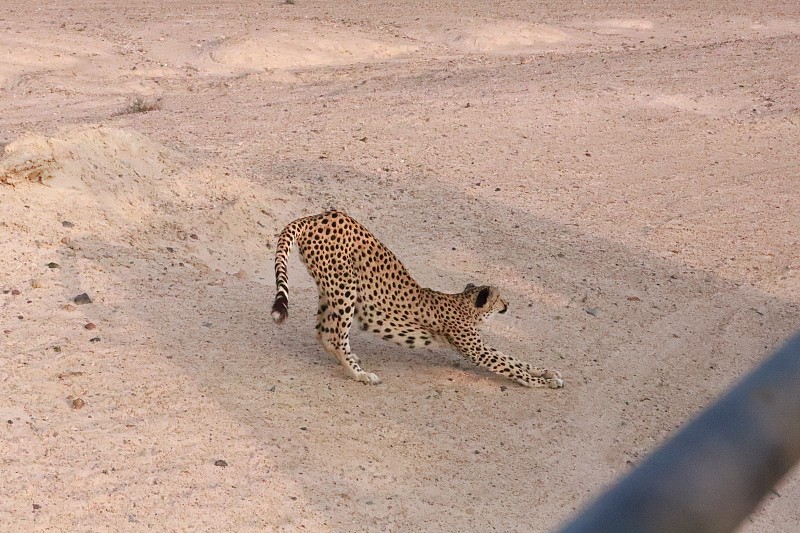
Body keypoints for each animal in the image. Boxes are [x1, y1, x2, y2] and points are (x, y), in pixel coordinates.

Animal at [272, 210, 564, 388]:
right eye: (498, 299)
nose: (507, 305)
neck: (464, 304)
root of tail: (318, 216)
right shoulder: (477, 351)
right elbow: (510, 365)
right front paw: (543, 382)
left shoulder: (479, 345)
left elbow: (514, 359)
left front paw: (546, 372)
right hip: (344, 288)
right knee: (335, 337)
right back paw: (360, 374)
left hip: (331, 288)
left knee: (323, 332)